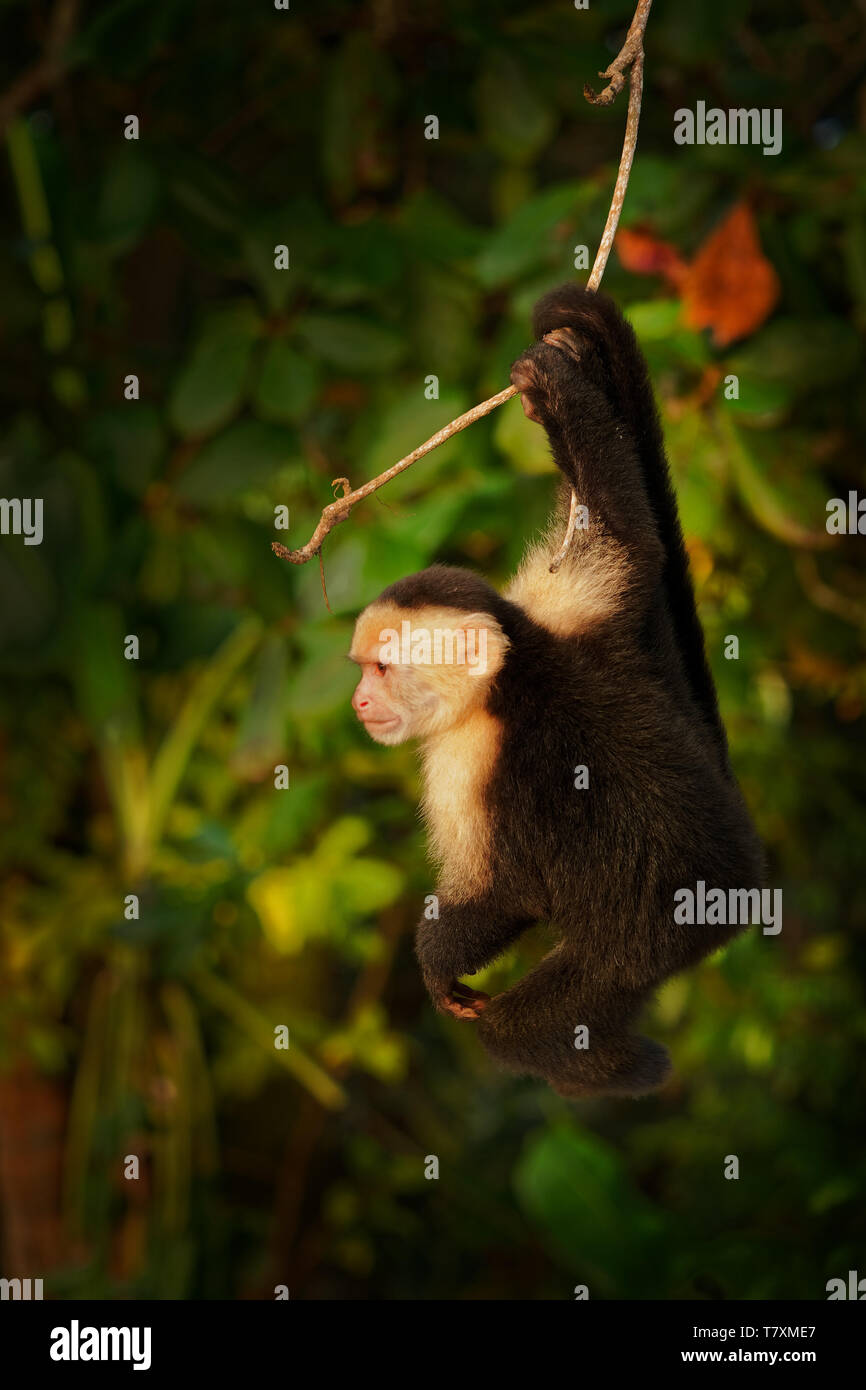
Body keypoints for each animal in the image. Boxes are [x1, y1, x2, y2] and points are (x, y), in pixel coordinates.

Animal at [348, 287, 761, 1100]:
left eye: (380, 668)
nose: (356, 701)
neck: (512, 673)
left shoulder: (469, 757)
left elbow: (507, 893)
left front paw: (437, 962)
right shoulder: (566, 609)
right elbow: (626, 530)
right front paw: (565, 382)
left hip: (651, 938)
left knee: (539, 1018)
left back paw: (606, 1066)